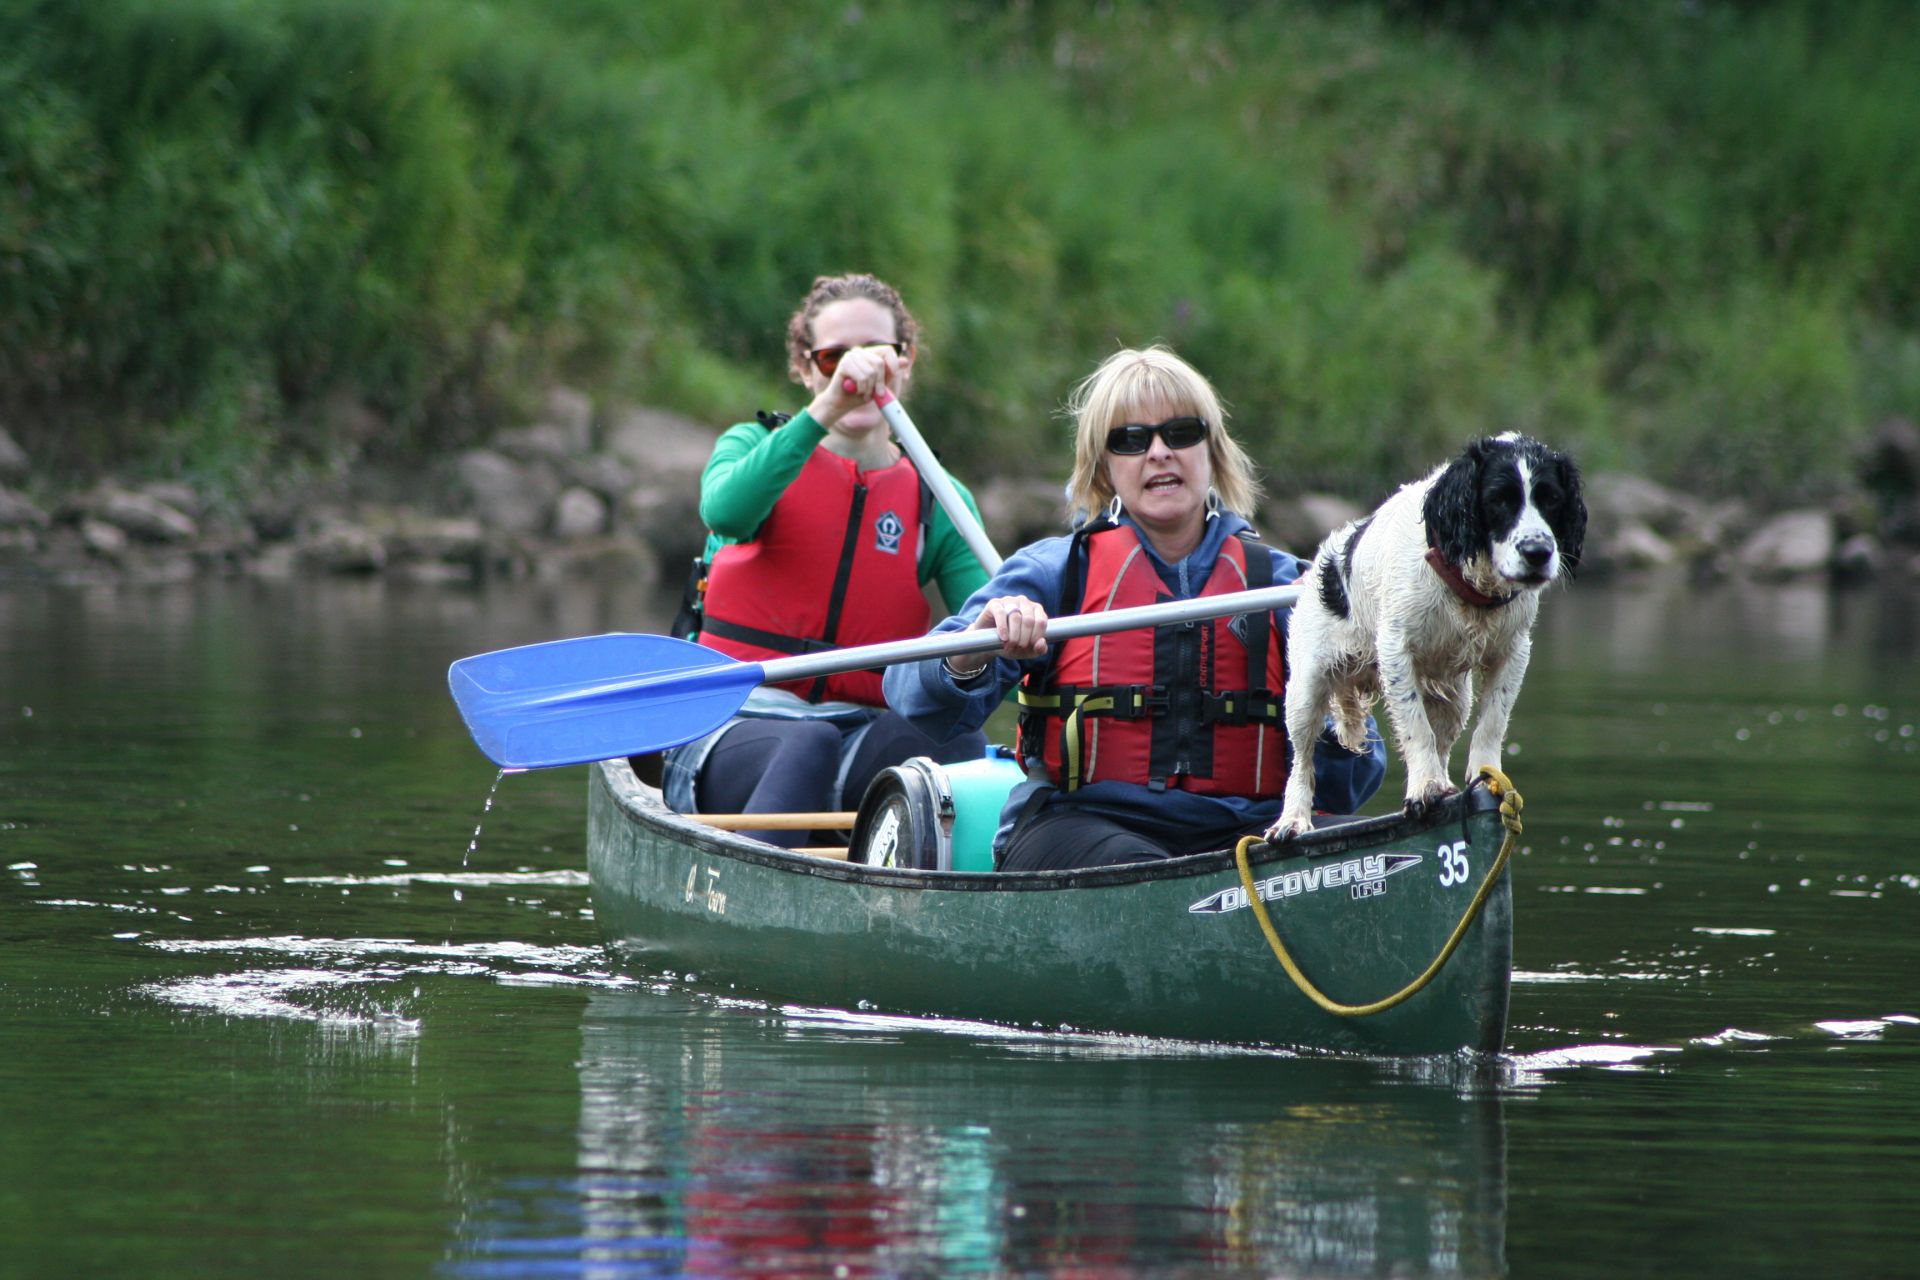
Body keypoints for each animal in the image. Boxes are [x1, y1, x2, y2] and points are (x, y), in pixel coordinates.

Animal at [1274, 435, 1589, 840]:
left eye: (1551, 498)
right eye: (1499, 499)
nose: (1538, 553)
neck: (1465, 583)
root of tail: (1317, 565)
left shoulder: (1513, 650)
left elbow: (1493, 720)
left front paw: (1485, 776)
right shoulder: (1396, 650)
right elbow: (1415, 728)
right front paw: (1424, 786)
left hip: (1454, 698)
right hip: (1306, 687)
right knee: (1301, 758)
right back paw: (1293, 820)